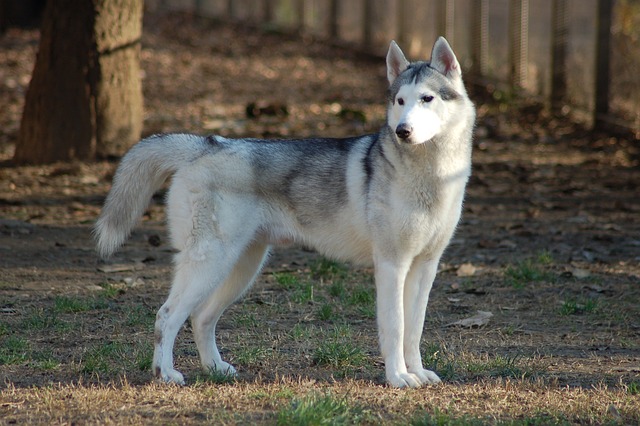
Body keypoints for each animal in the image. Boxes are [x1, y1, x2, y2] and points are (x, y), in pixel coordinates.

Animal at [95, 38, 476, 388]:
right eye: (400, 101)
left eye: (427, 99)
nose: (402, 131)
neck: (432, 176)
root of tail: (207, 144)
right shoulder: (391, 265)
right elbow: (395, 328)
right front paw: (398, 377)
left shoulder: (425, 267)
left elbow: (414, 329)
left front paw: (417, 372)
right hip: (210, 263)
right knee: (167, 316)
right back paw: (165, 373)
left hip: (241, 268)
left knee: (201, 317)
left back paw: (215, 368)